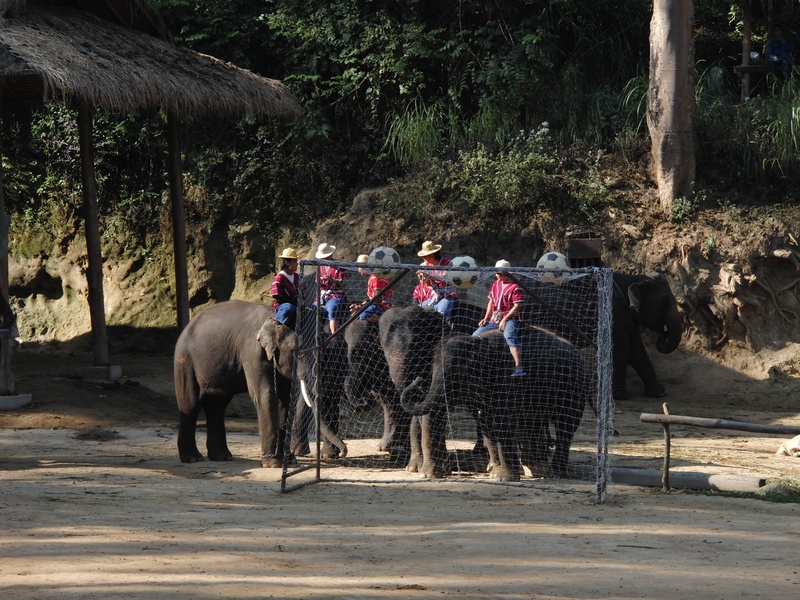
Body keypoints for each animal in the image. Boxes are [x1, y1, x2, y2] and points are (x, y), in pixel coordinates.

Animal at [174, 300, 345, 467]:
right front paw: (273, 463)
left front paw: (288, 461)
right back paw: (193, 458)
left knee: (217, 405)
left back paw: (222, 457)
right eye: (295, 352)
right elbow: (265, 395)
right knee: (190, 403)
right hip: (185, 358)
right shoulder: (253, 351)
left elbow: (284, 400)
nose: (344, 452)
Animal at [400, 328, 592, 481]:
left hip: (575, 388)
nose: (417, 380)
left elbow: (501, 422)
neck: (478, 343)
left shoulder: (505, 378)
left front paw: (503, 478)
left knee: (565, 427)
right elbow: (486, 423)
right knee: (532, 423)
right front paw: (495, 475)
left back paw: (556, 473)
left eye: (457, 372)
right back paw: (536, 470)